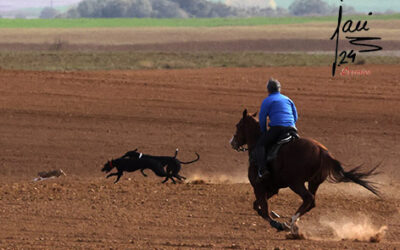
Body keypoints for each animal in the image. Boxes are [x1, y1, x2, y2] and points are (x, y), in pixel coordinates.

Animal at [230, 109, 380, 232]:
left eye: (238, 125)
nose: (232, 142)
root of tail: (322, 151)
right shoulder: (272, 188)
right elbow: (257, 206)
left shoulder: (258, 187)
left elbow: (264, 210)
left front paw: (277, 224)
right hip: (314, 182)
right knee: (312, 202)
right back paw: (293, 223)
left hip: (296, 183)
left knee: (308, 198)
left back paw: (290, 222)